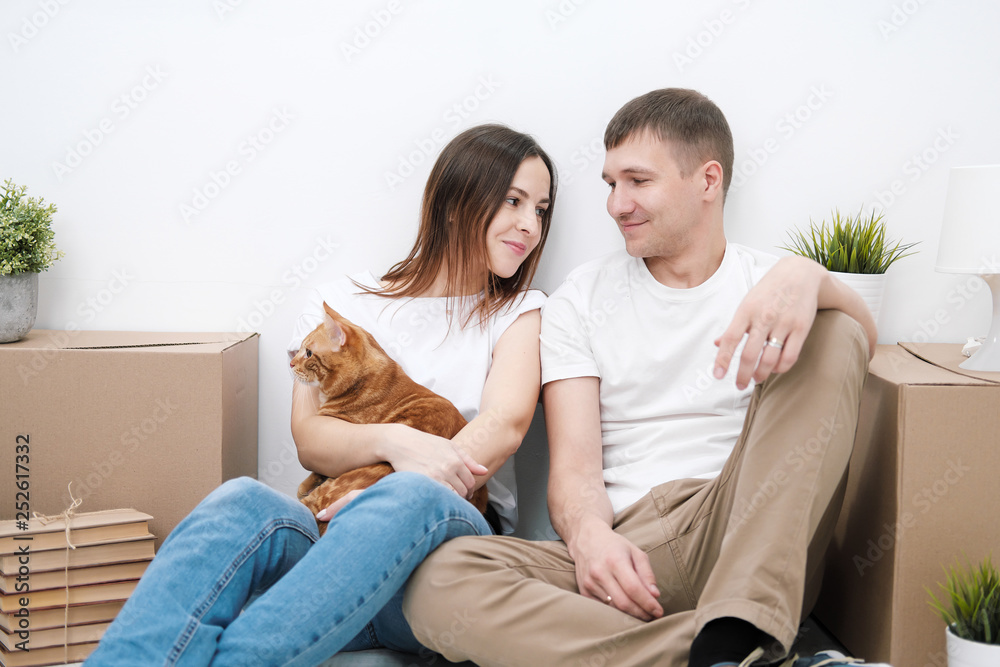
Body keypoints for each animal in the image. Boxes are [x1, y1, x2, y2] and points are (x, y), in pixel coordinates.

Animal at [288, 302, 490, 536]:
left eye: (308, 353)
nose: (291, 363)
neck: (360, 382)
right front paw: (305, 484)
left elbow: (318, 470)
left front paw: (303, 486)